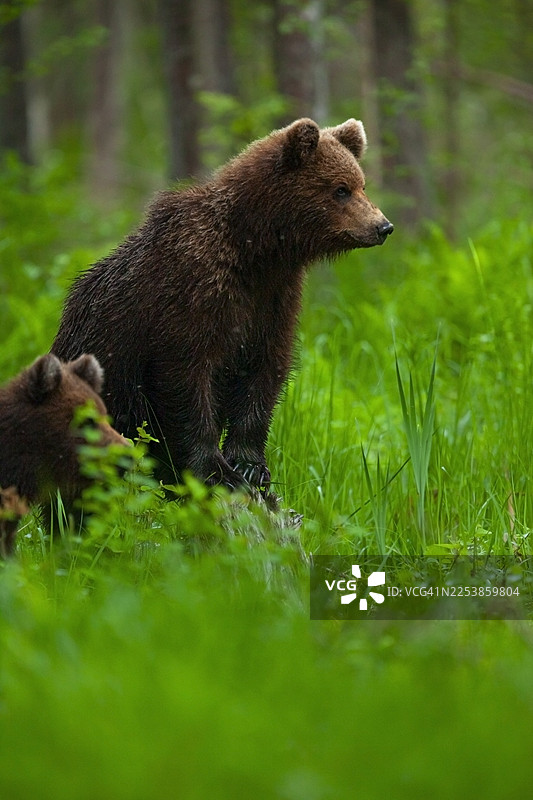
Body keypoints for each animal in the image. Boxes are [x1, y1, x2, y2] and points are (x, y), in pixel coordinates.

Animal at [52, 118, 393, 493]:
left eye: (361, 185)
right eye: (341, 189)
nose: (383, 226)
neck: (258, 250)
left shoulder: (273, 299)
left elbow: (264, 372)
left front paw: (250, 465)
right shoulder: (191, 291)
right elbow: (186, 377)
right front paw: (216, 470)